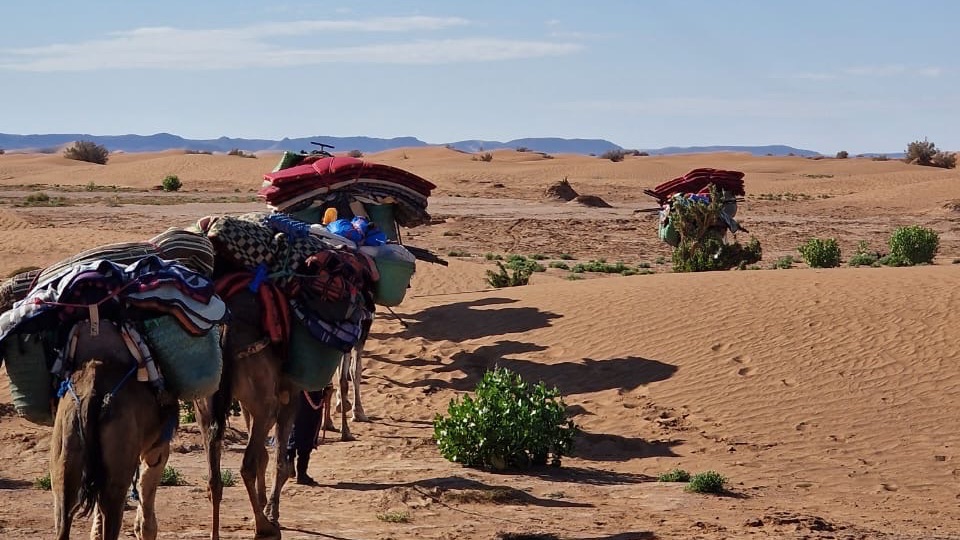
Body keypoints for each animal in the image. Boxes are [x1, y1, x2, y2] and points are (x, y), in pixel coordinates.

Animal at [50, 320, 179, 540]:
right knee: (110, 508)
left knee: (65, 512)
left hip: (66, 443)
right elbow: (147, 493)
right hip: (119, 463)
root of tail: (92, 394)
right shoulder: (158, 445)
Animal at [195, 287, 298, 540]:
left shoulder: (246, 402)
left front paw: (262, 504)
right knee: (247, 465)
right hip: (266, 403)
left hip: (205, 404)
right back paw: (265, 528)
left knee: (214, 475)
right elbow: (279, 459)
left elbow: (264, 453)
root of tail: (226, 332)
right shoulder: (289, 393)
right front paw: (271, 512)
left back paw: (215, 533)